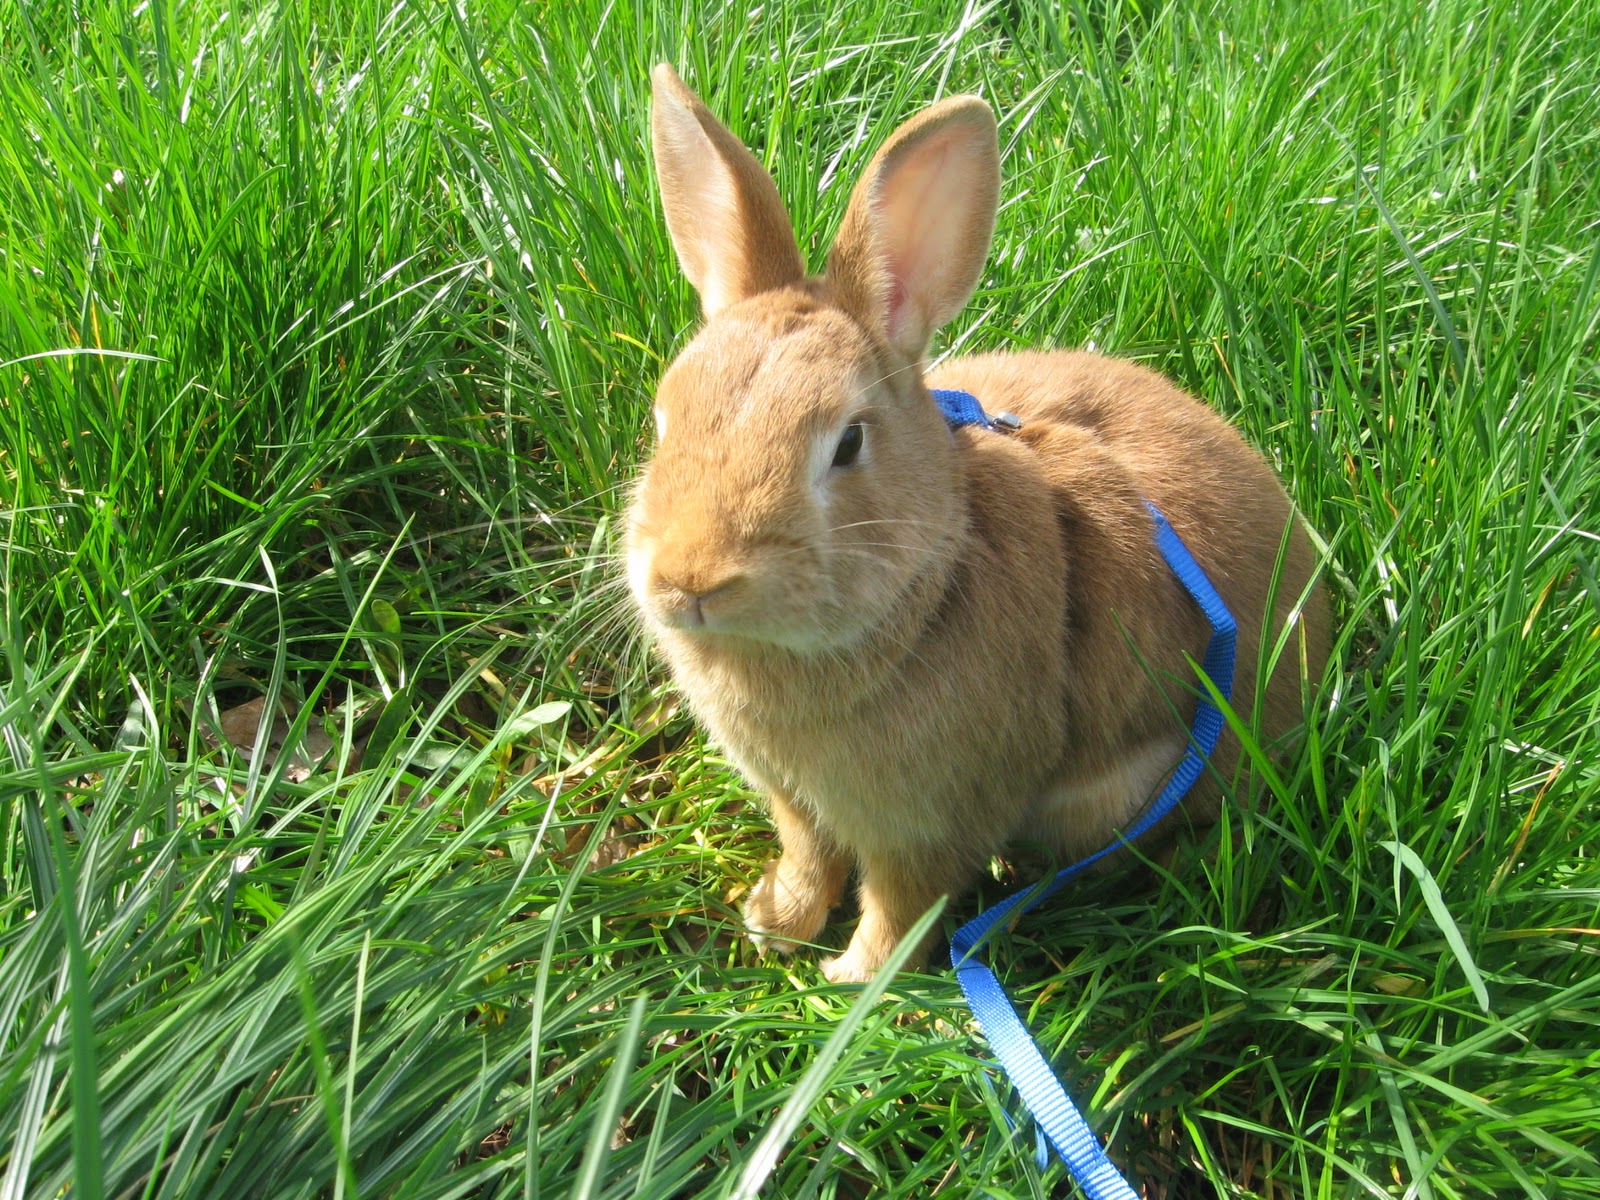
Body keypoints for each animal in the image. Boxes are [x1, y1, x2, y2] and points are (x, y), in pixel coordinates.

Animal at [624, 63, 1331, 983]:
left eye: (847, 443)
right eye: (664, 417)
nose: (692, 582)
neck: (925, 583)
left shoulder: (927, 825)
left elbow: (902, 907)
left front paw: (852, 980)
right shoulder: (798, 802)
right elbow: (808, 853)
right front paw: (773, 923)